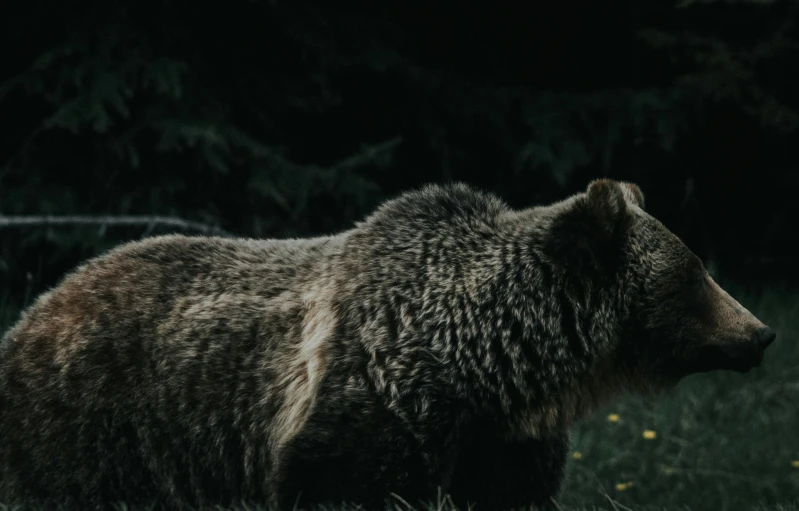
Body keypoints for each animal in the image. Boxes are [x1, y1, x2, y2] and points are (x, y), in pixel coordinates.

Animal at [0, 178, 780, 510]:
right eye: (694, 274)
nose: (762, 333)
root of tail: (38, 306)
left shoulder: (501, 441)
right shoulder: (368, 405)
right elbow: (345, 481)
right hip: (99, 425)